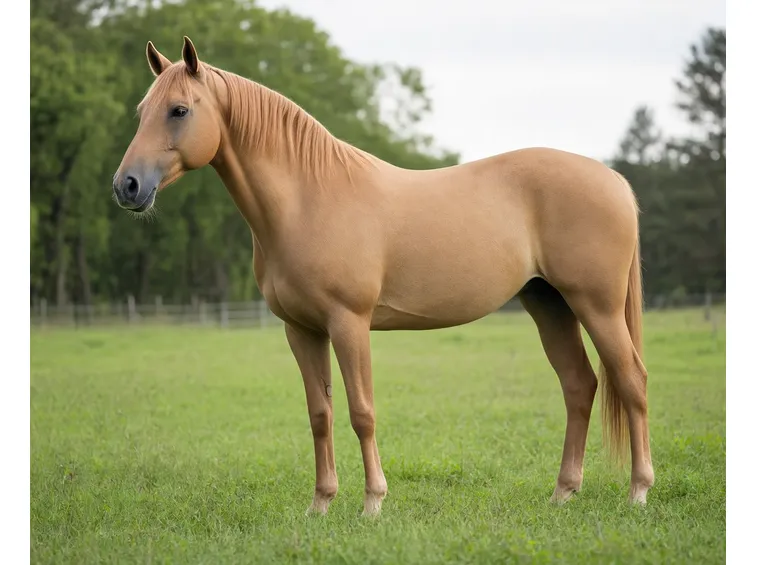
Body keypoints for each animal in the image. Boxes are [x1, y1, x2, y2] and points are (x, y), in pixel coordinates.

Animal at [113, 36, 654, 516]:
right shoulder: (301, 330)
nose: (127, 186)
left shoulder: (349, 323)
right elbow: (320, 414)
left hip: (596, 305)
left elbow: (362, 412)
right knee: (579, 385)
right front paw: (321, 504)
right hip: (549, 304)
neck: (308, 199)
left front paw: (372, 502)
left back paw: (638, 492)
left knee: (631, 380)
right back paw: (563, 493)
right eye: (143, 111)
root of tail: (614, 180)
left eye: (179, 110)